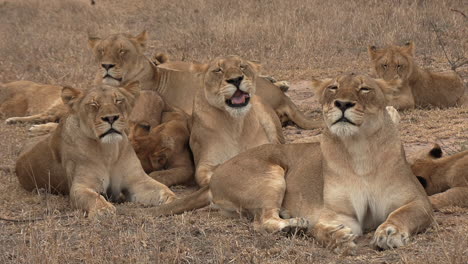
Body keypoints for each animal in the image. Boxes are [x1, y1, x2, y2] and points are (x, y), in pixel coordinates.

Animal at [15, 82, 176, 217]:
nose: (111, 118)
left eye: (118, 100)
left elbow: (161, 188)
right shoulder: (80, 186)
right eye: (93, 103)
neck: (109, 150)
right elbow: (93, 197)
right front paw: (104, 209)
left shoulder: (137, 180)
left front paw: (171, 199)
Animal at [129, 73, 436, 253]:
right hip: (271, 174)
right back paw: (295, 224)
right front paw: (334, 237)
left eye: (365, 89)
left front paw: (389, 232)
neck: (358, 149)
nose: (342, 104)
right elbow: (321, 227)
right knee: (262, 221)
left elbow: (405, 214)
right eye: (333, 88)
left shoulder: (418, 201)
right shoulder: (340, 213)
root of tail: (217, 174)